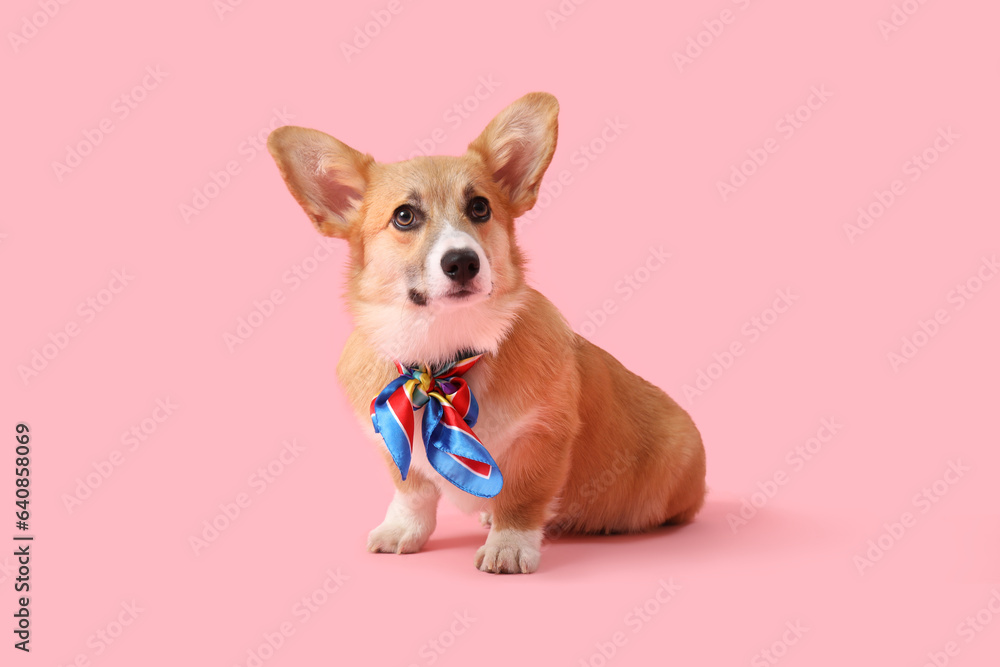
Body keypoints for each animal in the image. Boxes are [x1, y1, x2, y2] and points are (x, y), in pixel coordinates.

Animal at [266, 94, 704, 576]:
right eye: (404, 216)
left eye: (480, 207)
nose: (462, 262)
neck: (441, 360)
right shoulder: (393, 445)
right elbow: (412, 492)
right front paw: (402, 531)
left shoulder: (542, 439)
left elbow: (521, 499)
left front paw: (509, 546)